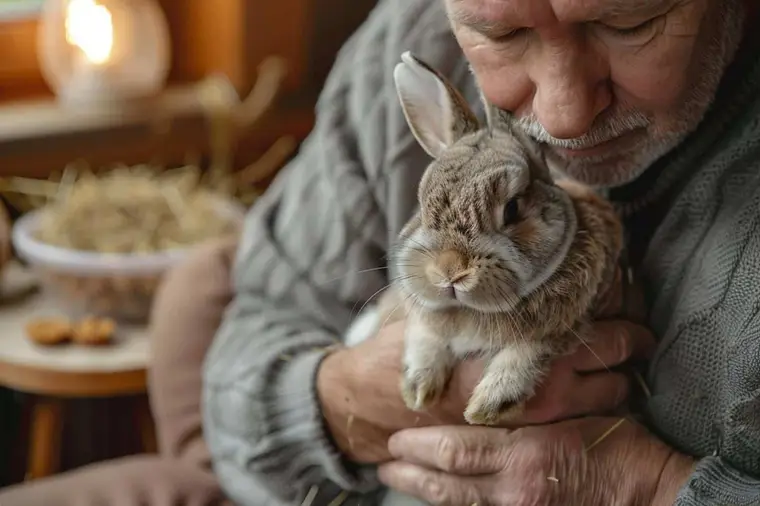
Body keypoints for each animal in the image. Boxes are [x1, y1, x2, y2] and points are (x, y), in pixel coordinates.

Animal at [344, 51, 624, 426]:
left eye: (513, 208)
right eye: (422, 203)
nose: (448, 271)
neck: (470, 311)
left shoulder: (575, 324)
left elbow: (530, 350)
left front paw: (490, 404)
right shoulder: (420, 318)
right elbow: (424, 337)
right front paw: (418, 388)